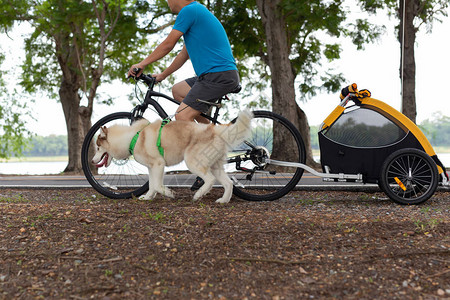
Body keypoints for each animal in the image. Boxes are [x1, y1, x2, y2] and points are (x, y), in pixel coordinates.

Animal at [91, 110, 253, 204]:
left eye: (98, 148)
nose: (92, 161)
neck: (133, 137)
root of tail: (214, 130)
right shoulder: (152, 168)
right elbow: (152, 185)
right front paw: (147, 197)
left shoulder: (158, 164)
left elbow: (157, 185)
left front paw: (169, 193)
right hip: (215, 166)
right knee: (229, 183)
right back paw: (223, 200)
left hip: (193, 163)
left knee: (210, 180)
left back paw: (198, 195)